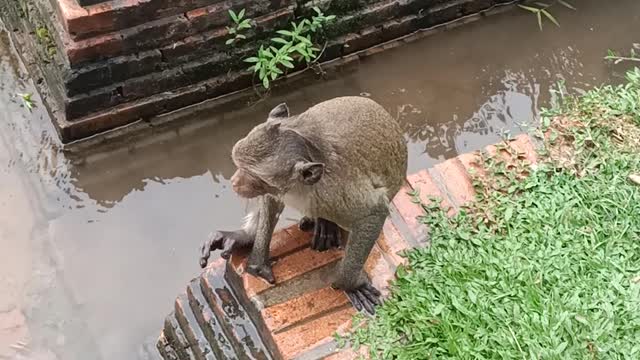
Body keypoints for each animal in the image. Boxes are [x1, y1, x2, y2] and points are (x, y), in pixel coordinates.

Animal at [200, 96, 408, 316]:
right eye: (239, 165)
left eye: (255, 178)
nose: (234, 182)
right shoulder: (281, 190)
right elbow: (271, 201)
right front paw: (253, 254)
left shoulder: (334, 191)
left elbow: (373, 212)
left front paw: (350, 284)